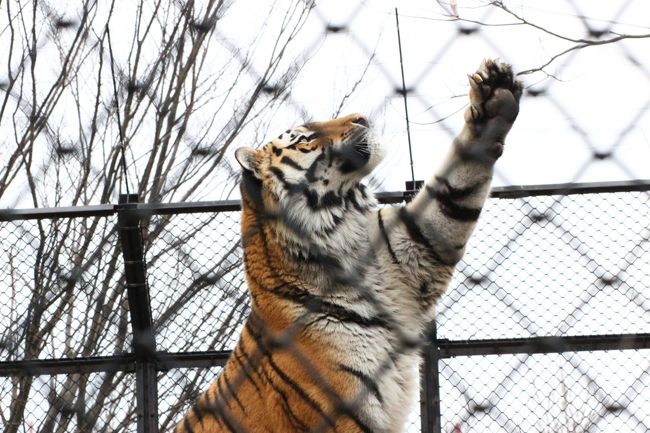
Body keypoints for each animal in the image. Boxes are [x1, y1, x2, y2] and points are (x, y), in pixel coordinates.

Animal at [172, 58, 520, 432]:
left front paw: (494, 99)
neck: (344, 232)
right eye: (305, 137)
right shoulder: (343, 412)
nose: (362, 117)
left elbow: (455, 190)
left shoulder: (415, 247)